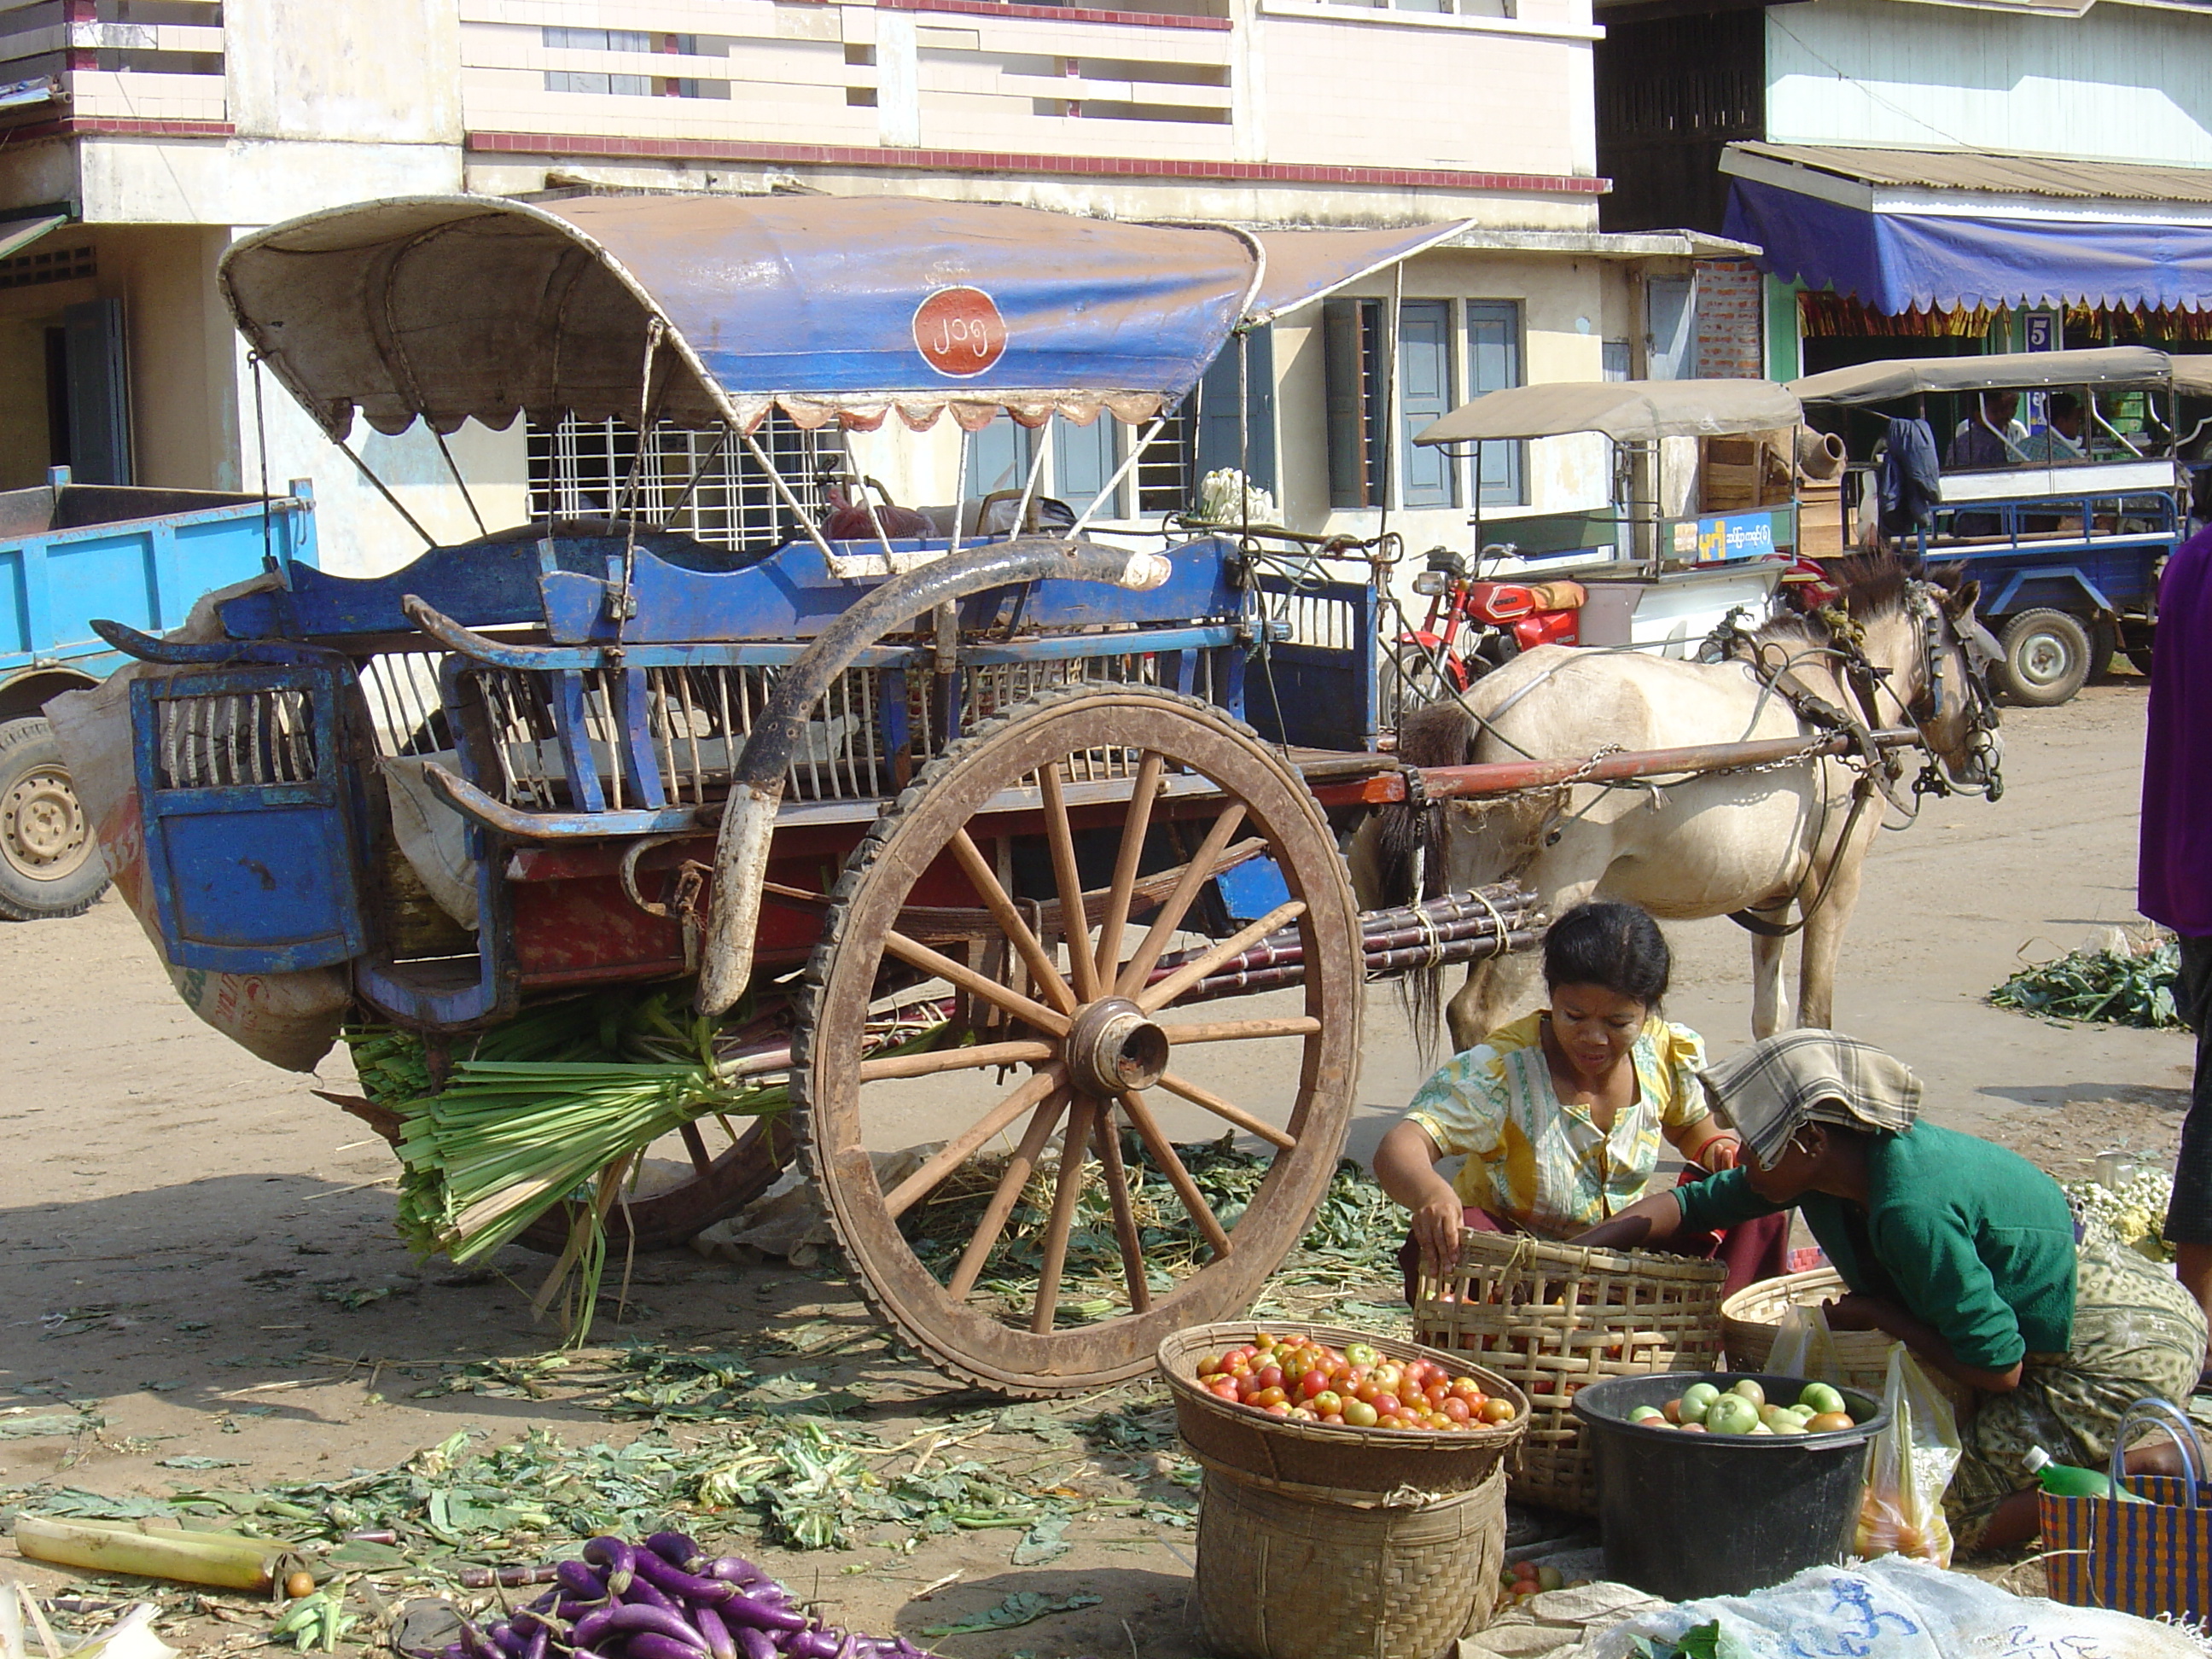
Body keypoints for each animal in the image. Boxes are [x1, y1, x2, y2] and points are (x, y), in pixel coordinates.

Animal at [1344, 559, 2008, 1052]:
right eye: (1984, 660)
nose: (1987, 762)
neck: (1833, 696)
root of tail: (1487, 699)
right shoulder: (1834, 880)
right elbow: (1815, 1014)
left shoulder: (1772, 892)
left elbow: (1770, 1017)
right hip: (1546, 896)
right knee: (1476, 1014)